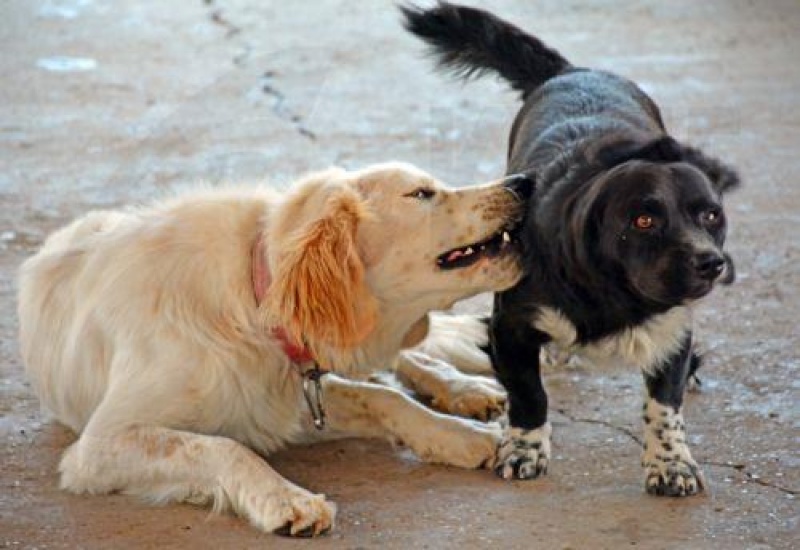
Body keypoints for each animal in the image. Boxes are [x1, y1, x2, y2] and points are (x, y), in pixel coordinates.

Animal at [15, 163, 528, 540]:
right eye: (421, 193)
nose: (521, 182)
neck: (255, 299)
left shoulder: (285, 397)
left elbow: (387, 398)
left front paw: (459, 435)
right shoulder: (101, 444)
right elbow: (224, 448)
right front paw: (287, 499)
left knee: (400, 365)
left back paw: (464, 390)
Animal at [404, 1, 740, 500]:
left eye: (711, 216)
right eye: (643, 221)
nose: (711, 264)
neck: (613, 295)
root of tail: (573, 71)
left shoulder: (673, 329)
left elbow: (664, 404)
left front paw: (671, 462)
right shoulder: (509, 327)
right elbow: (529, 394)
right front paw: (524, 449)